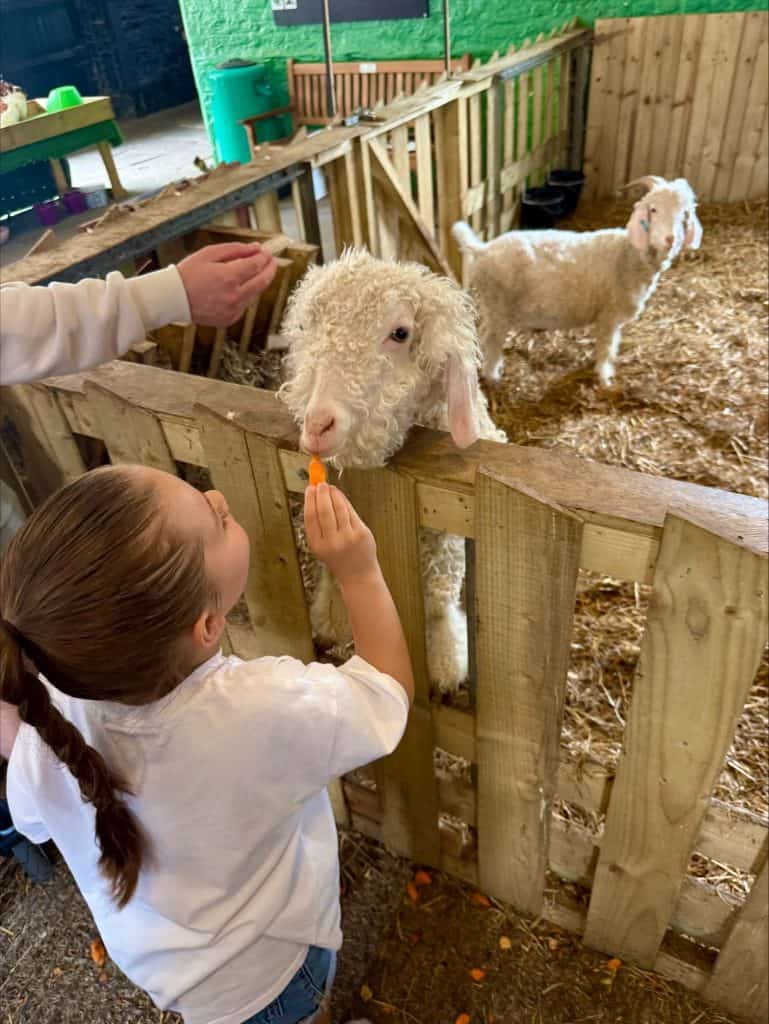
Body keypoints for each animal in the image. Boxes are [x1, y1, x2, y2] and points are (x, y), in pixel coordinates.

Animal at [279, 248, 506, 693]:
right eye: (306, 326)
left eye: (401, 333)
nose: (317, 426)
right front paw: (331, 615)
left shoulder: (446, 549)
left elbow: (438, 606)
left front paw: (445, 661)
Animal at [452, 175, 703, 387]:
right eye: (653, 209)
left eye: (685, 214)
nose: (671, 239)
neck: (628, 254)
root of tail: (483, 249)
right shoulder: (609, 315)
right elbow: (606, 347)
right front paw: (604, 378)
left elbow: (607, 346)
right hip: (498, 306)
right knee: (491, 340)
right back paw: (492, 376)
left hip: (494, 308)